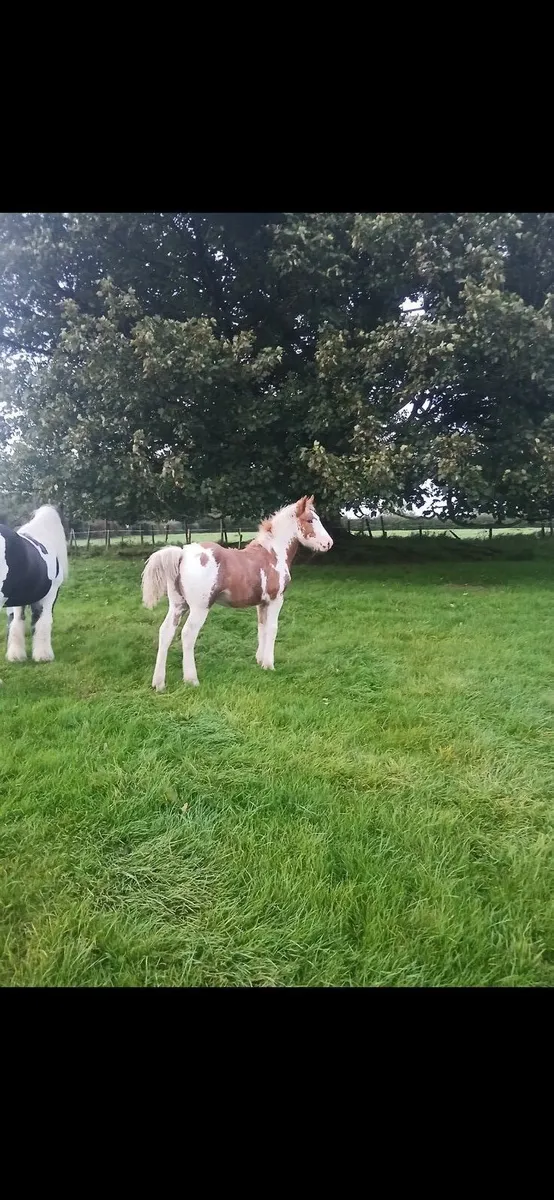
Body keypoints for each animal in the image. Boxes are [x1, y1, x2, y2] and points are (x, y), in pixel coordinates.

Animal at [0, 506, 69, 663]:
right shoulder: (49, 596)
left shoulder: (18, 600)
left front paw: (15, 655)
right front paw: (43, 656)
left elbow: (15, 622)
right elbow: (42, 621)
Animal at [141, 495, 333, 690]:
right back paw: (191, 679)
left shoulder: (261, 603)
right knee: (187, 635)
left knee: (165, 633)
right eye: (310, 520)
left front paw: (260, 661)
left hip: (177, 605)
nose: (329, 543)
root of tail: (182, 554)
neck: (272, 554)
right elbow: (272, 628)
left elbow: (261, 627)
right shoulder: (275, 599)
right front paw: (269, 665)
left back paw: (158, 683)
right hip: (199, 608)